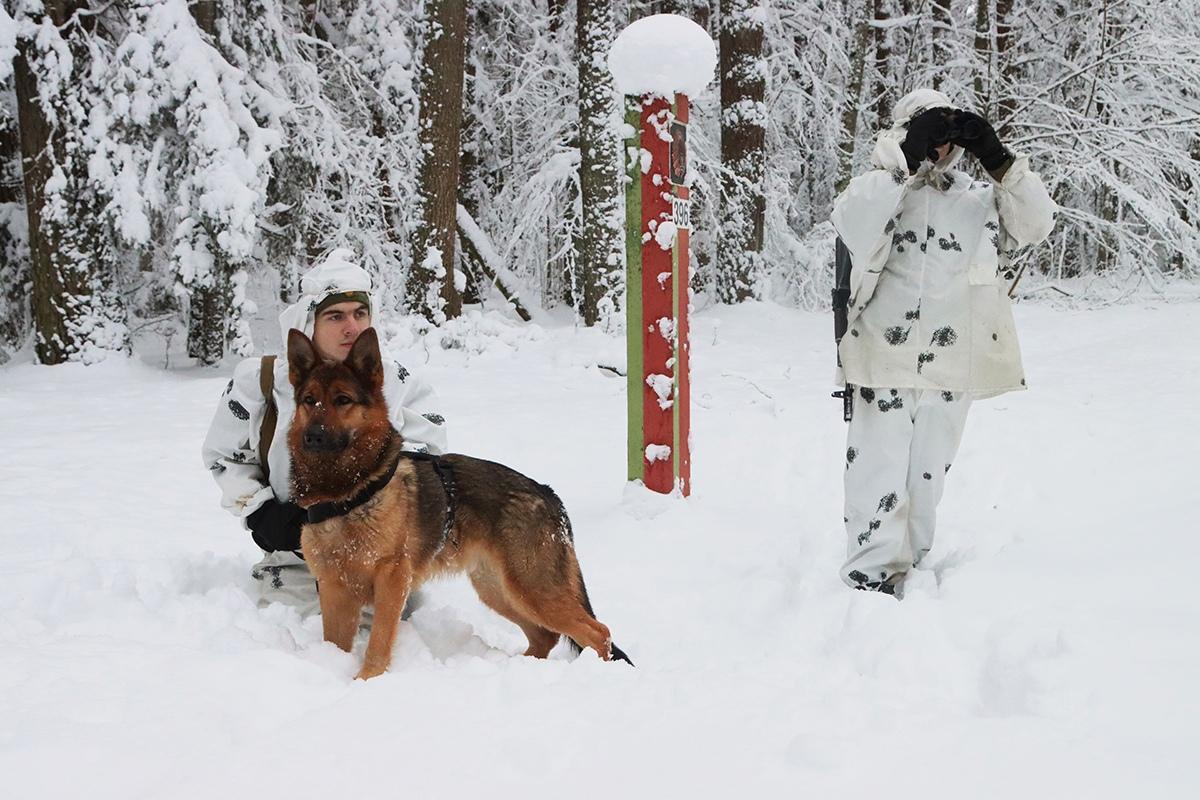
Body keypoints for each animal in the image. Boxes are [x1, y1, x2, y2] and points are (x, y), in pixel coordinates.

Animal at [286, 328, 633, 681]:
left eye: (343, 400)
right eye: (309, 400)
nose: (313, 436)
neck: (347, 492)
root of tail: (547, 493)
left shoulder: (392, 580)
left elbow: (379, 641)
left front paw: (367, 680)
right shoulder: (333, 589)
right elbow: (335, 643)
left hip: (533, 589)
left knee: (599, 633)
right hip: (498, 591)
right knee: (545, 636)